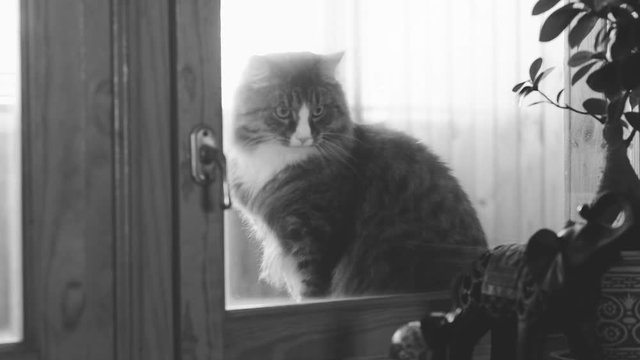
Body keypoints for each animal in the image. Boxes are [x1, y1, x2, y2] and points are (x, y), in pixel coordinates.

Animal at [229, 52, 484, 300]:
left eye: (318, 111)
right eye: (282, 112)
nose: (303, 138)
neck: (281, 160)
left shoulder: (317, 235)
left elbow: (312, 289)